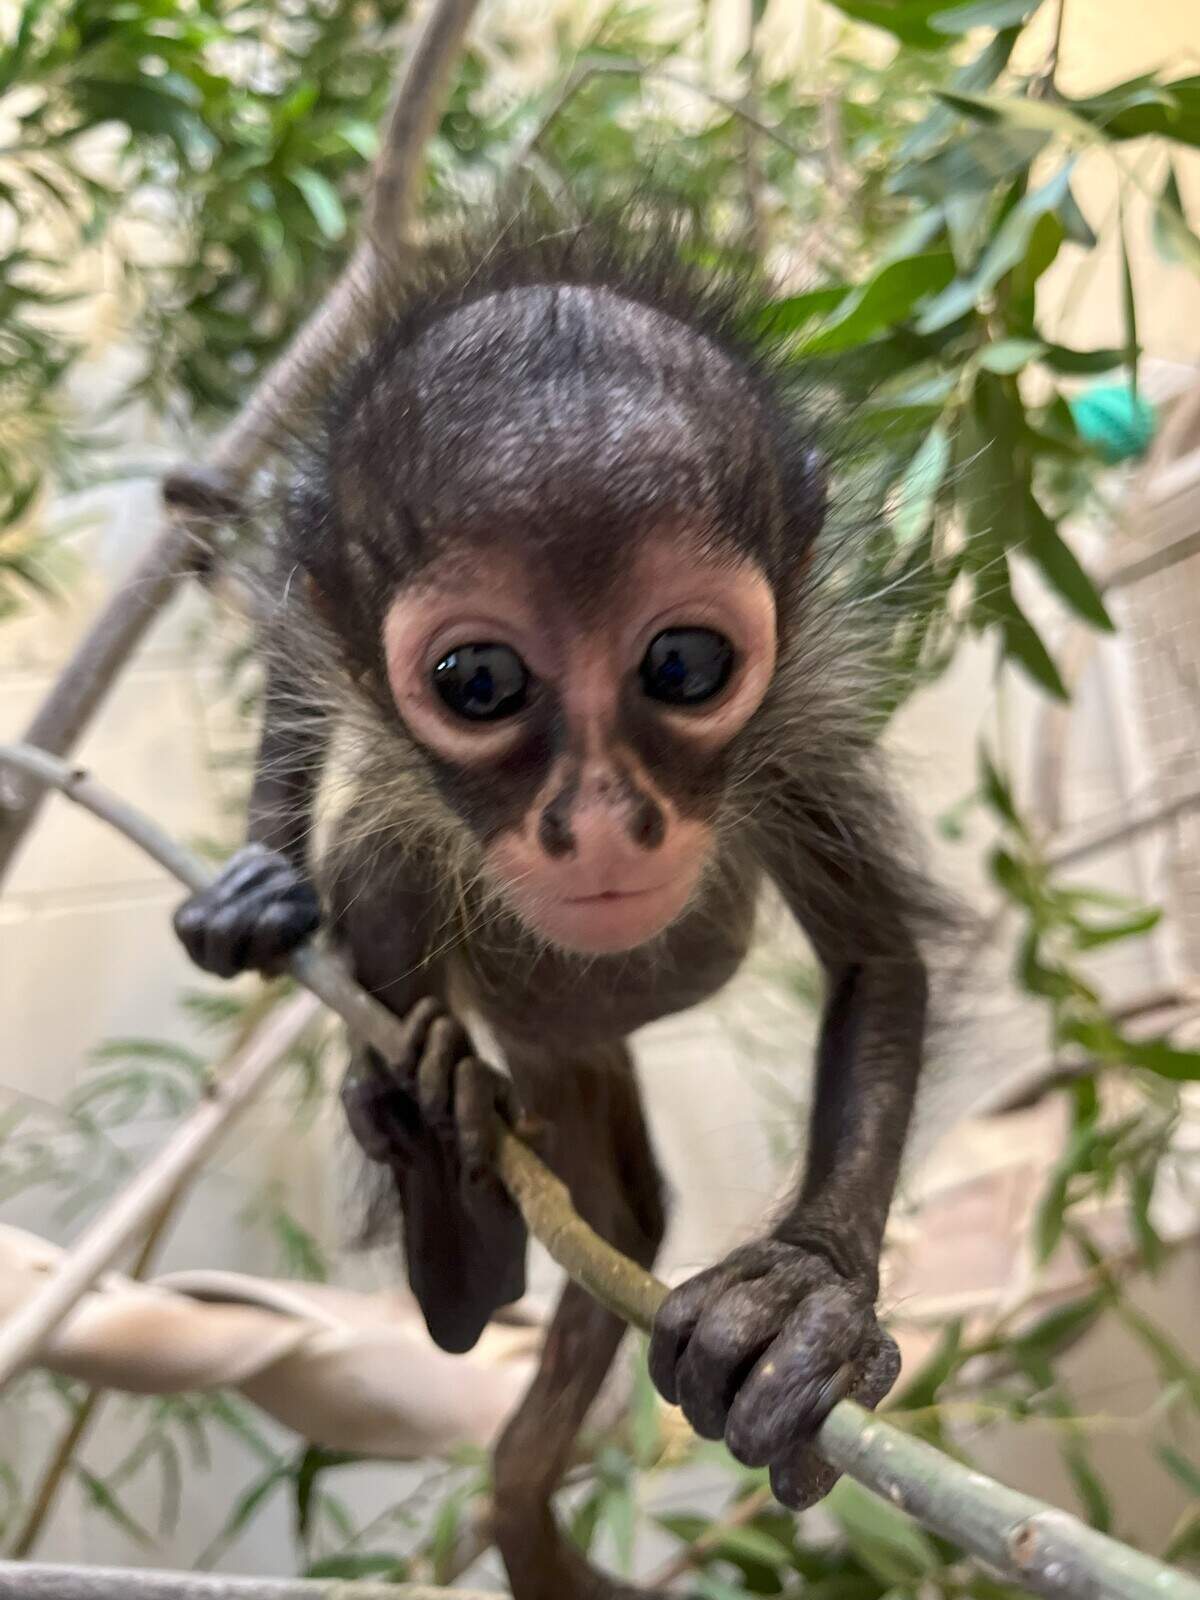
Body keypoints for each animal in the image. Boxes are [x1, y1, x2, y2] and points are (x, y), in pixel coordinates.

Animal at [170, 211, 942, 1600]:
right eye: (478, 681)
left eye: (684, 664)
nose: (601, 819)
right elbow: (301, 670)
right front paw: (262, 879)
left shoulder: (800, 723)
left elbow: (878, 967)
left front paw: (809, 1293)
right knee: (385, 851)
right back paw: (447, 1198)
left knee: (625, 1210)